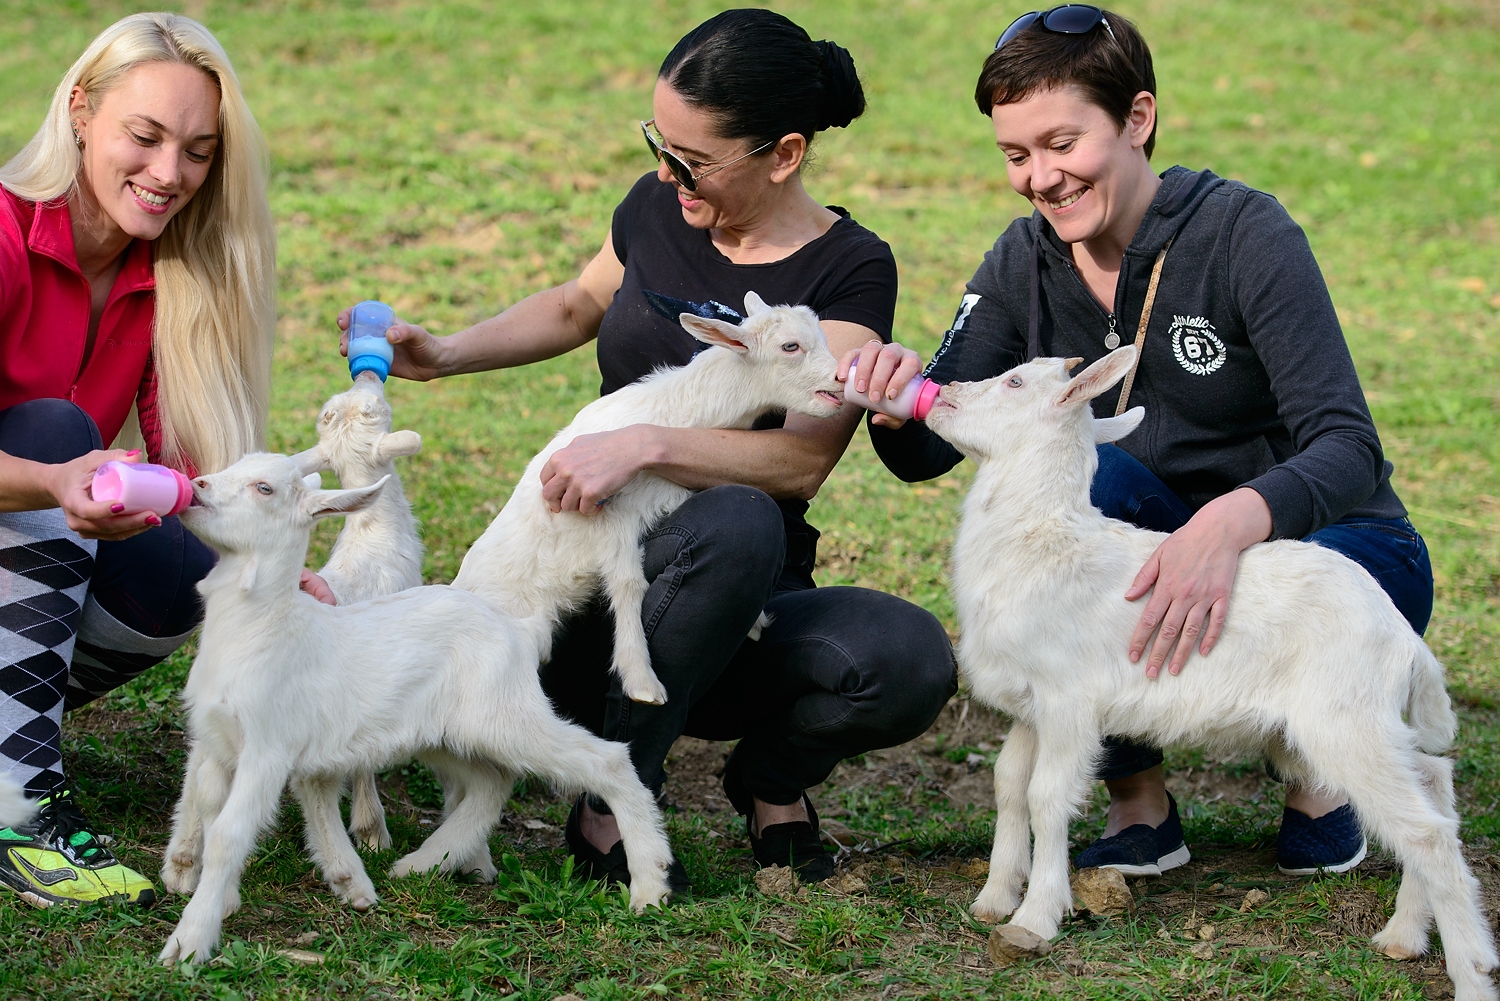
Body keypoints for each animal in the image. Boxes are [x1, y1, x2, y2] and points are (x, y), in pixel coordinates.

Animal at [156, 453, 669, 960]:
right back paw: (423, 863)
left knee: (604, 760)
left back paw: (650, 884)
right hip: (449, 733)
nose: (196, 486)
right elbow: (209, 811)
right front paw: (220, 901)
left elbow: (228, 833)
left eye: (265, 489)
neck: (262, 629)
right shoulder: (218, 743)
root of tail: (521, 630)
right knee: (492, 782)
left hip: (505, 715)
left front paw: (189, 942)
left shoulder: (268, 746)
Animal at [450, 291, 852, 705]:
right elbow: (629, 583)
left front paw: (754, 621)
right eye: (790, 346)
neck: (677, 413)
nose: (841, 380)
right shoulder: (605, 514)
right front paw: (641, 681)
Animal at [930, 346, 1494, 1001]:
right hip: (1370, 721)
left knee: (1427, 831)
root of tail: (1403, 636)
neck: (1041, 542)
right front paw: (994, 898)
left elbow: (1046, 797)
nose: (943, 393)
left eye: (1016, 382)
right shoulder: (1030, 707)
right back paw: (1403, 935)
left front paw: (1035, 920)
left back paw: (1471, 973)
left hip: (1344, 720)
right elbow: (1009, 786)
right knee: (1434, 784)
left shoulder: (1068, 701)